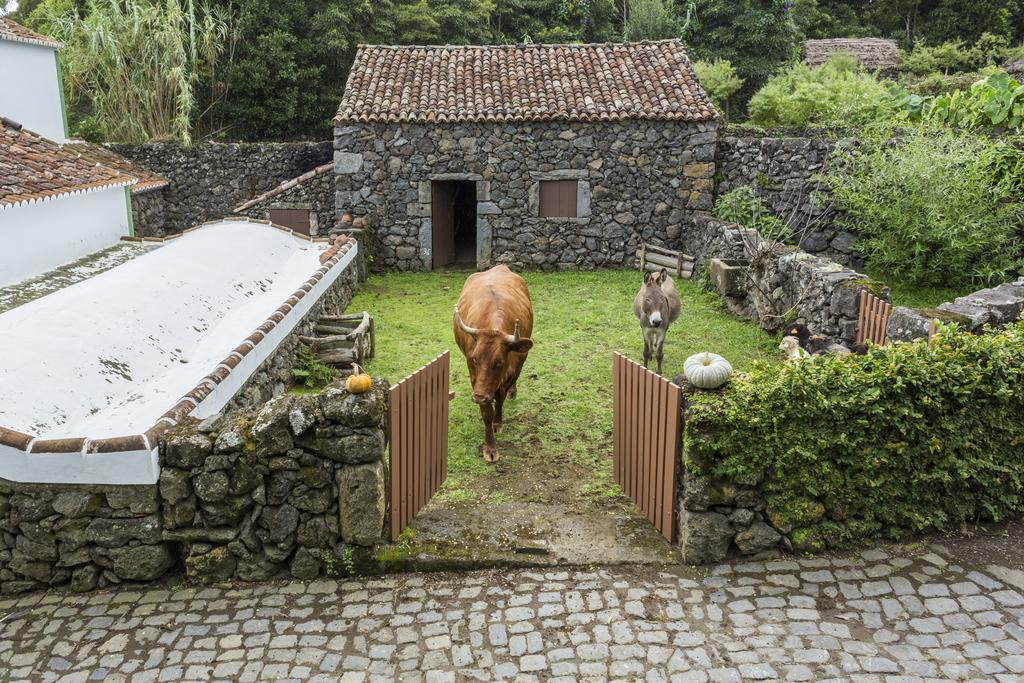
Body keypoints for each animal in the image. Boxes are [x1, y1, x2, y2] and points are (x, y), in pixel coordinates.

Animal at [456, 264, 536, 462]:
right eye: (475, 358)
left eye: (499, 362)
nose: (478, 396)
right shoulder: (475, 377)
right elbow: (487, 413)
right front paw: (490, 449)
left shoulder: (515, 367)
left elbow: (500, 398)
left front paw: (498, 422)